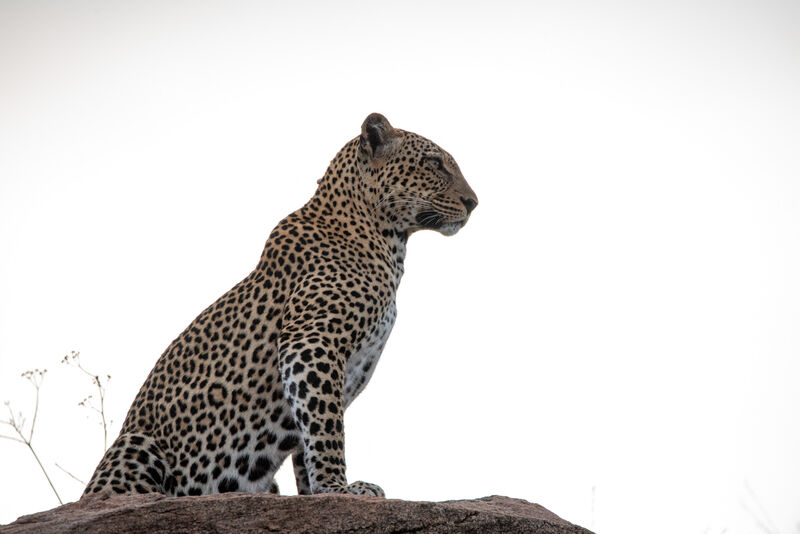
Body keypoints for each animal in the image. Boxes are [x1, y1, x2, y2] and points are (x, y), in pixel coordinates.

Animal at [82, 113, 478, 499]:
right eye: (434, 163)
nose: (474, 202)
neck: (389, 243)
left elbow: (309, 436)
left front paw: (318, 491)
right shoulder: (310, 342)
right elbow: (326, 428)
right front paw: (337, 488)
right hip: (137, 445)